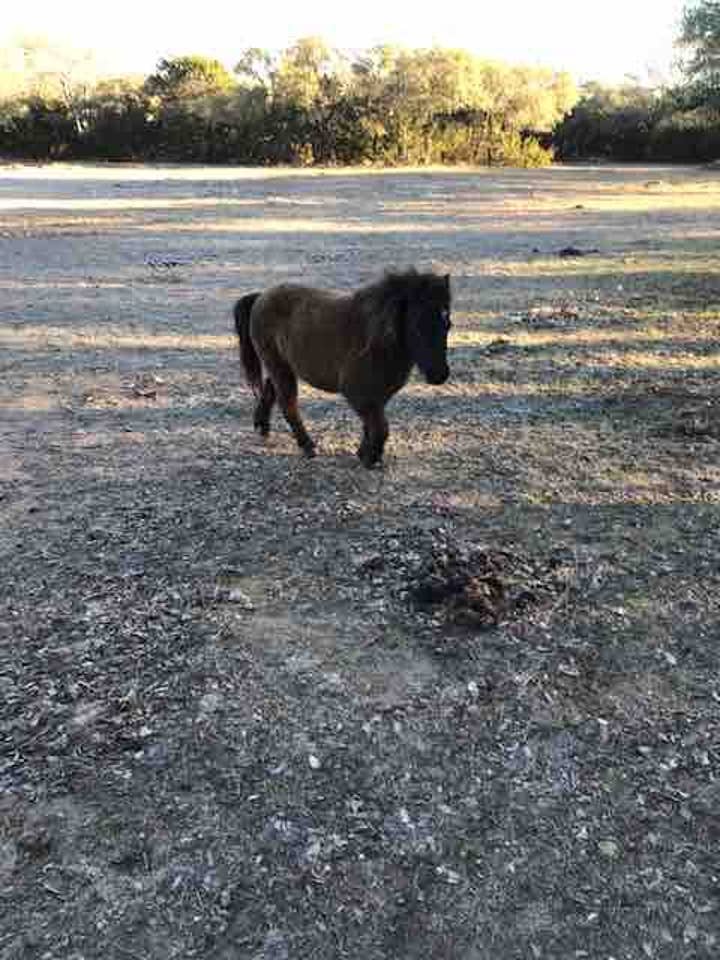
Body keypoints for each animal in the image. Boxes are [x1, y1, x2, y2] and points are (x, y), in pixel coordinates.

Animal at [233, 268, 452, 466]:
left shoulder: (376, 397)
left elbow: (372, 425)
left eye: (448, 323)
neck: (376, 339)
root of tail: (261, 296)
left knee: (270, 390)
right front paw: (370, 458)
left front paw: (365, 453)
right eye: (416, 325)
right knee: (288, 405)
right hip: (278, 366)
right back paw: (307, 446)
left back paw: (262, 427)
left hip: (283, 366)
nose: (439, 375)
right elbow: (381, 427)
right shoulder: (357, 394)